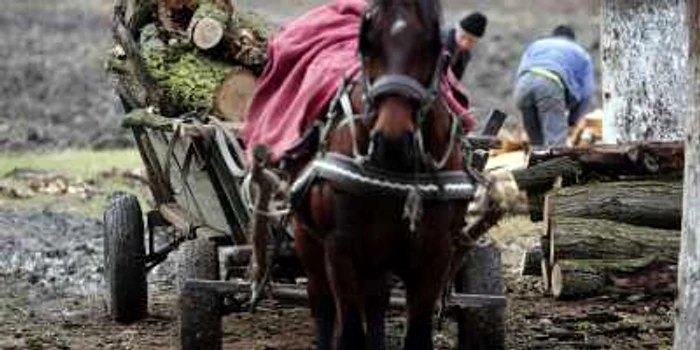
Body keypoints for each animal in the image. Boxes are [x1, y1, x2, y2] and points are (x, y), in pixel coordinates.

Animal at [288, 0, 478, 350]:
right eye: (367, 43)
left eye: (433, 46)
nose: (392, 141)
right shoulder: (340, 249)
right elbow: (349, 332)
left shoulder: (435, 253)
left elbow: (416, 335)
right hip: (307, 237)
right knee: (322, 303)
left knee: (376, 299)